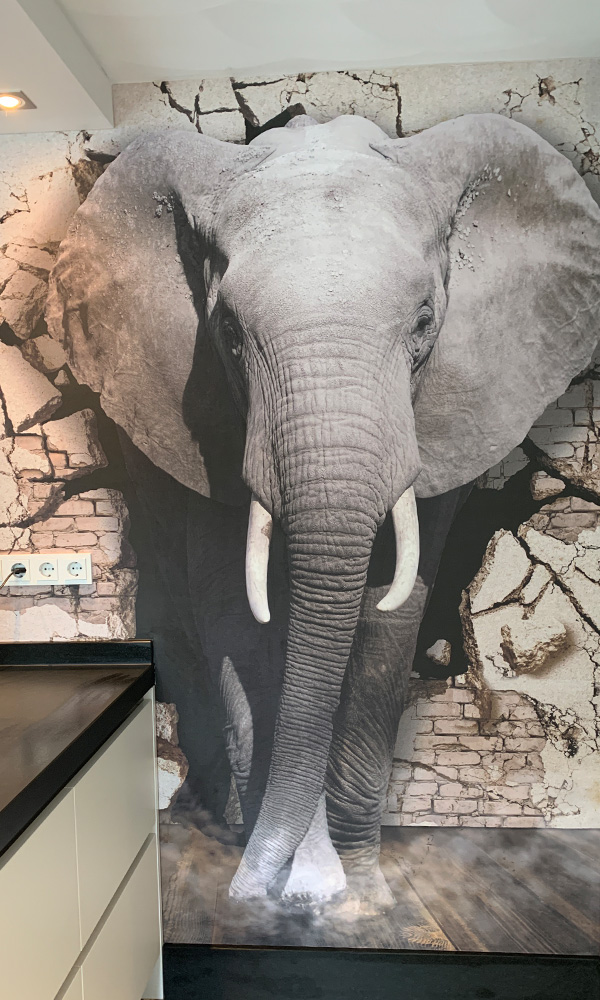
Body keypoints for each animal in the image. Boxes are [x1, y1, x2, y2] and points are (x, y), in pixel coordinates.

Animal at [46, 112, 600, 911]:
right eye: (228, 331)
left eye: (424, 321)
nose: (246, 893)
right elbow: (238, 613)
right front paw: (298, 884)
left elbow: (391, 609)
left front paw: (358, 891)